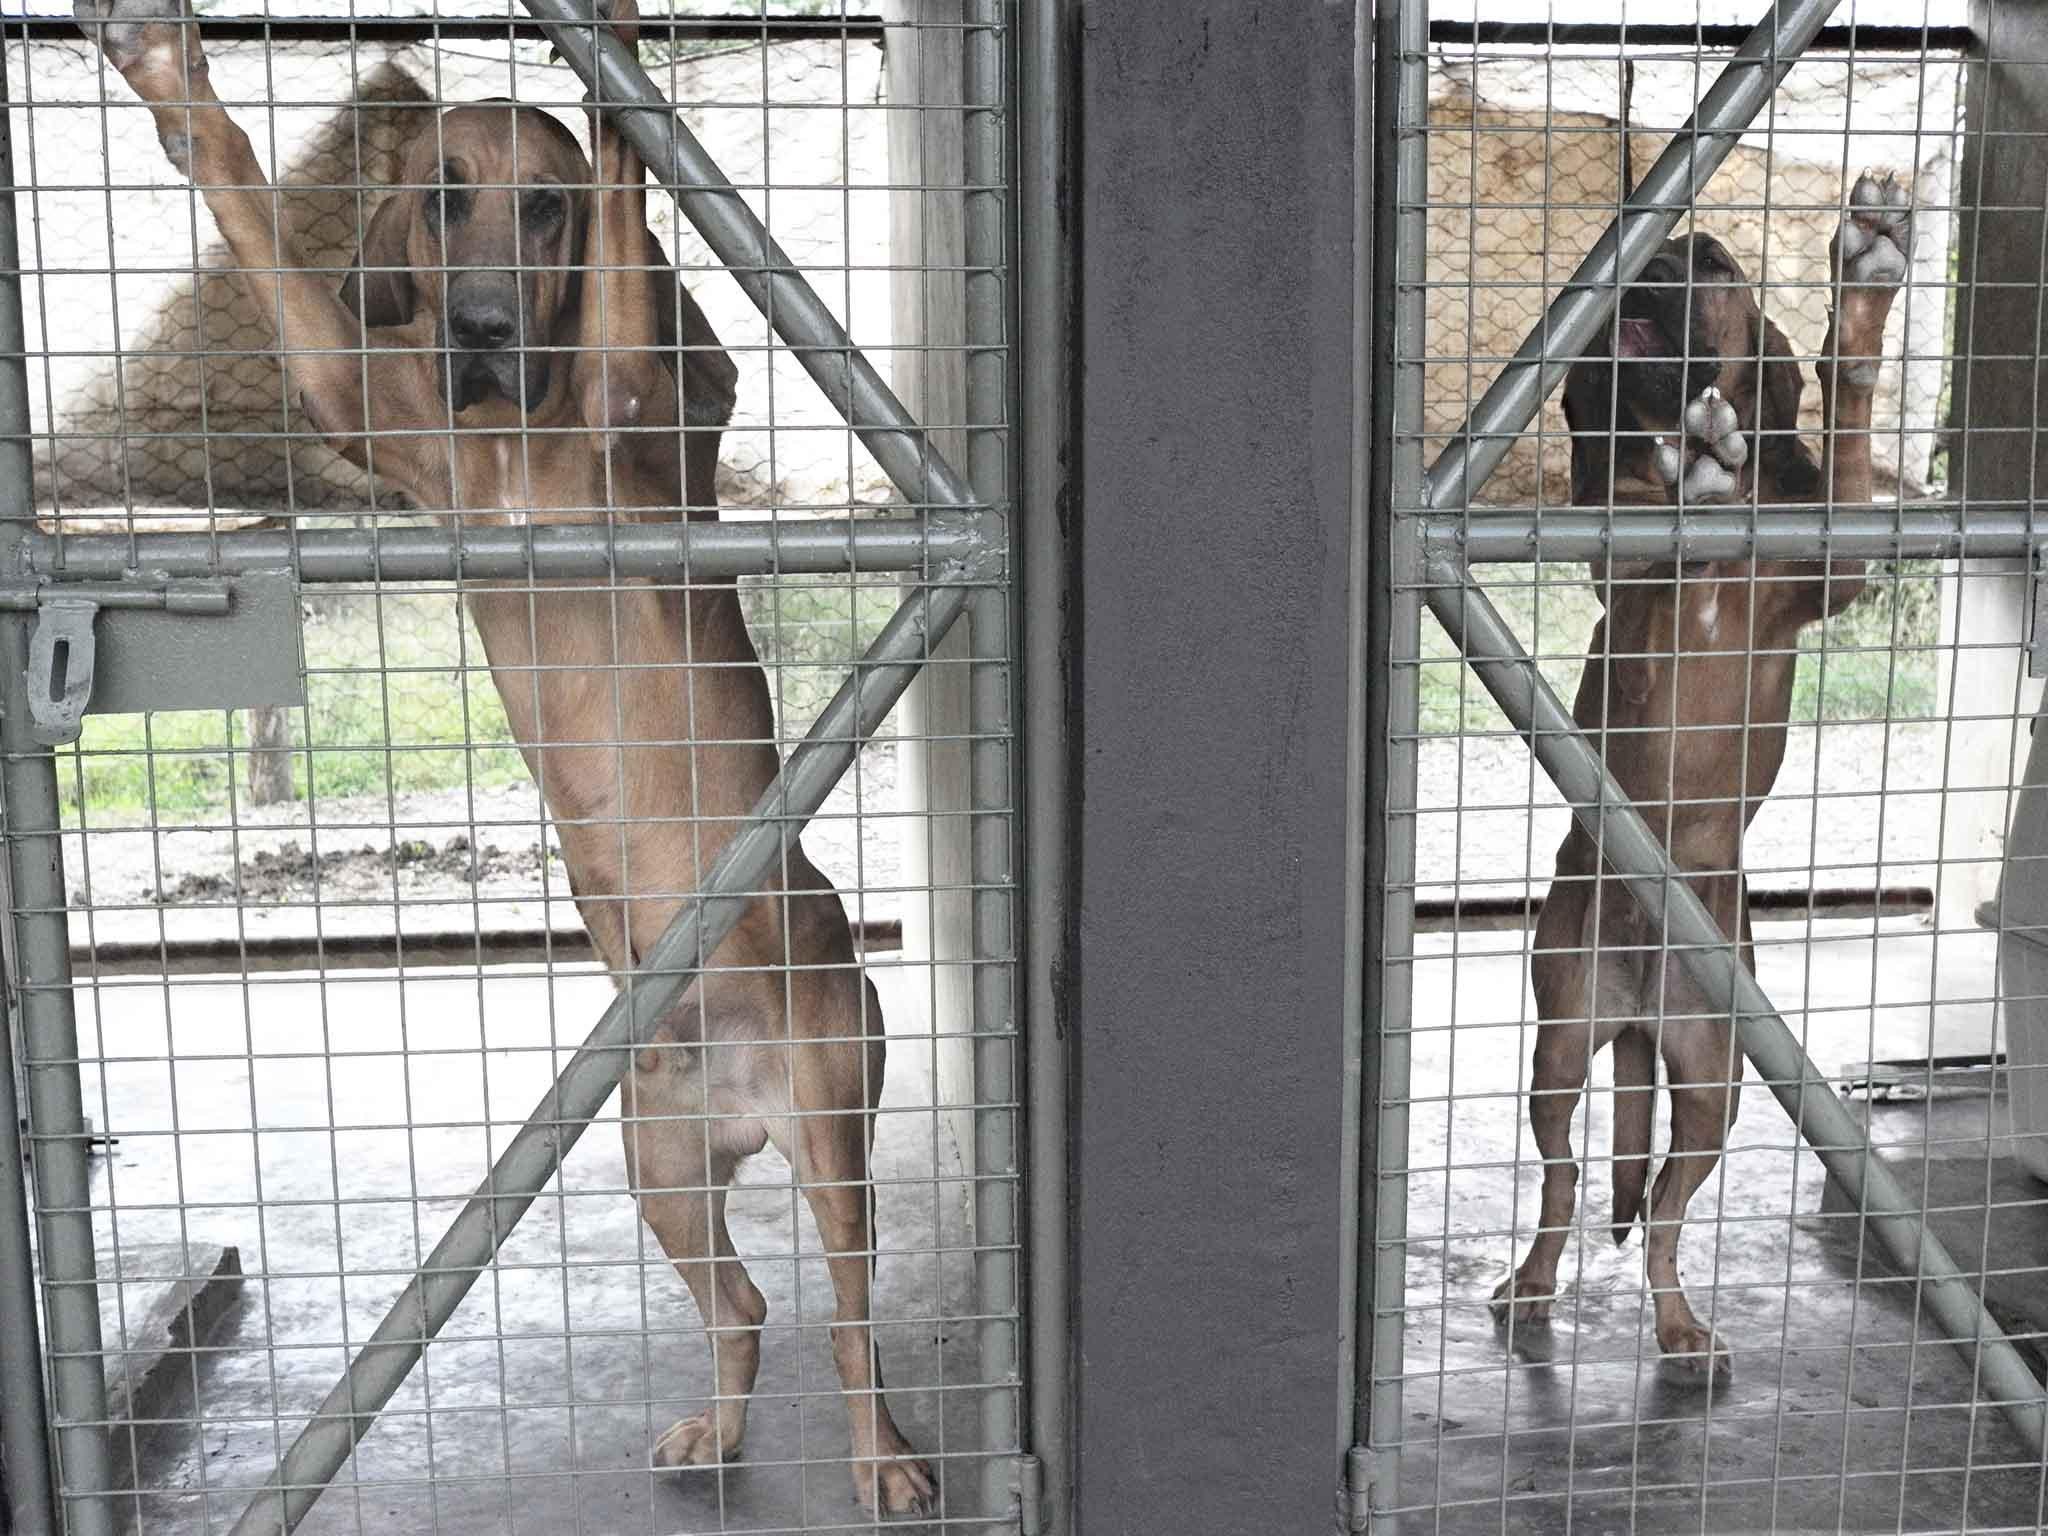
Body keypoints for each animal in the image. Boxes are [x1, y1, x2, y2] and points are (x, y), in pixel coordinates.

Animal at [77, 0, 942, 1515]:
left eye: (540, 206)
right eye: (440, 196)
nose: (479, 326)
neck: (512, 439)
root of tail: (736, 1095)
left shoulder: (633, 394)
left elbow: (626, 227)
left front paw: (613, 72)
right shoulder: (358, 400)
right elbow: (254, 215)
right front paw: (175, 87)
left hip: (836, 1135)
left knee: (846, 1318)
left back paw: (880, 1459)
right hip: (657, 1164)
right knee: (744, 1308)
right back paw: (717, 1432)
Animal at [1499, 183, 1908, 1384]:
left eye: (1718, 262)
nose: (1662, 256)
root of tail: (1641, 1005)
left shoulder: (1834, 561)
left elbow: (1846, 433)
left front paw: (1859, 308)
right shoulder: (1617, 547)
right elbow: (1631, 503)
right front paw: (1691, 465)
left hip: (1714, 1084)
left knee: (1667, 1219)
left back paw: (1681, 1326)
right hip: (1561, 1042)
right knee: (1564, 1180)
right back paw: (1533, 1281)